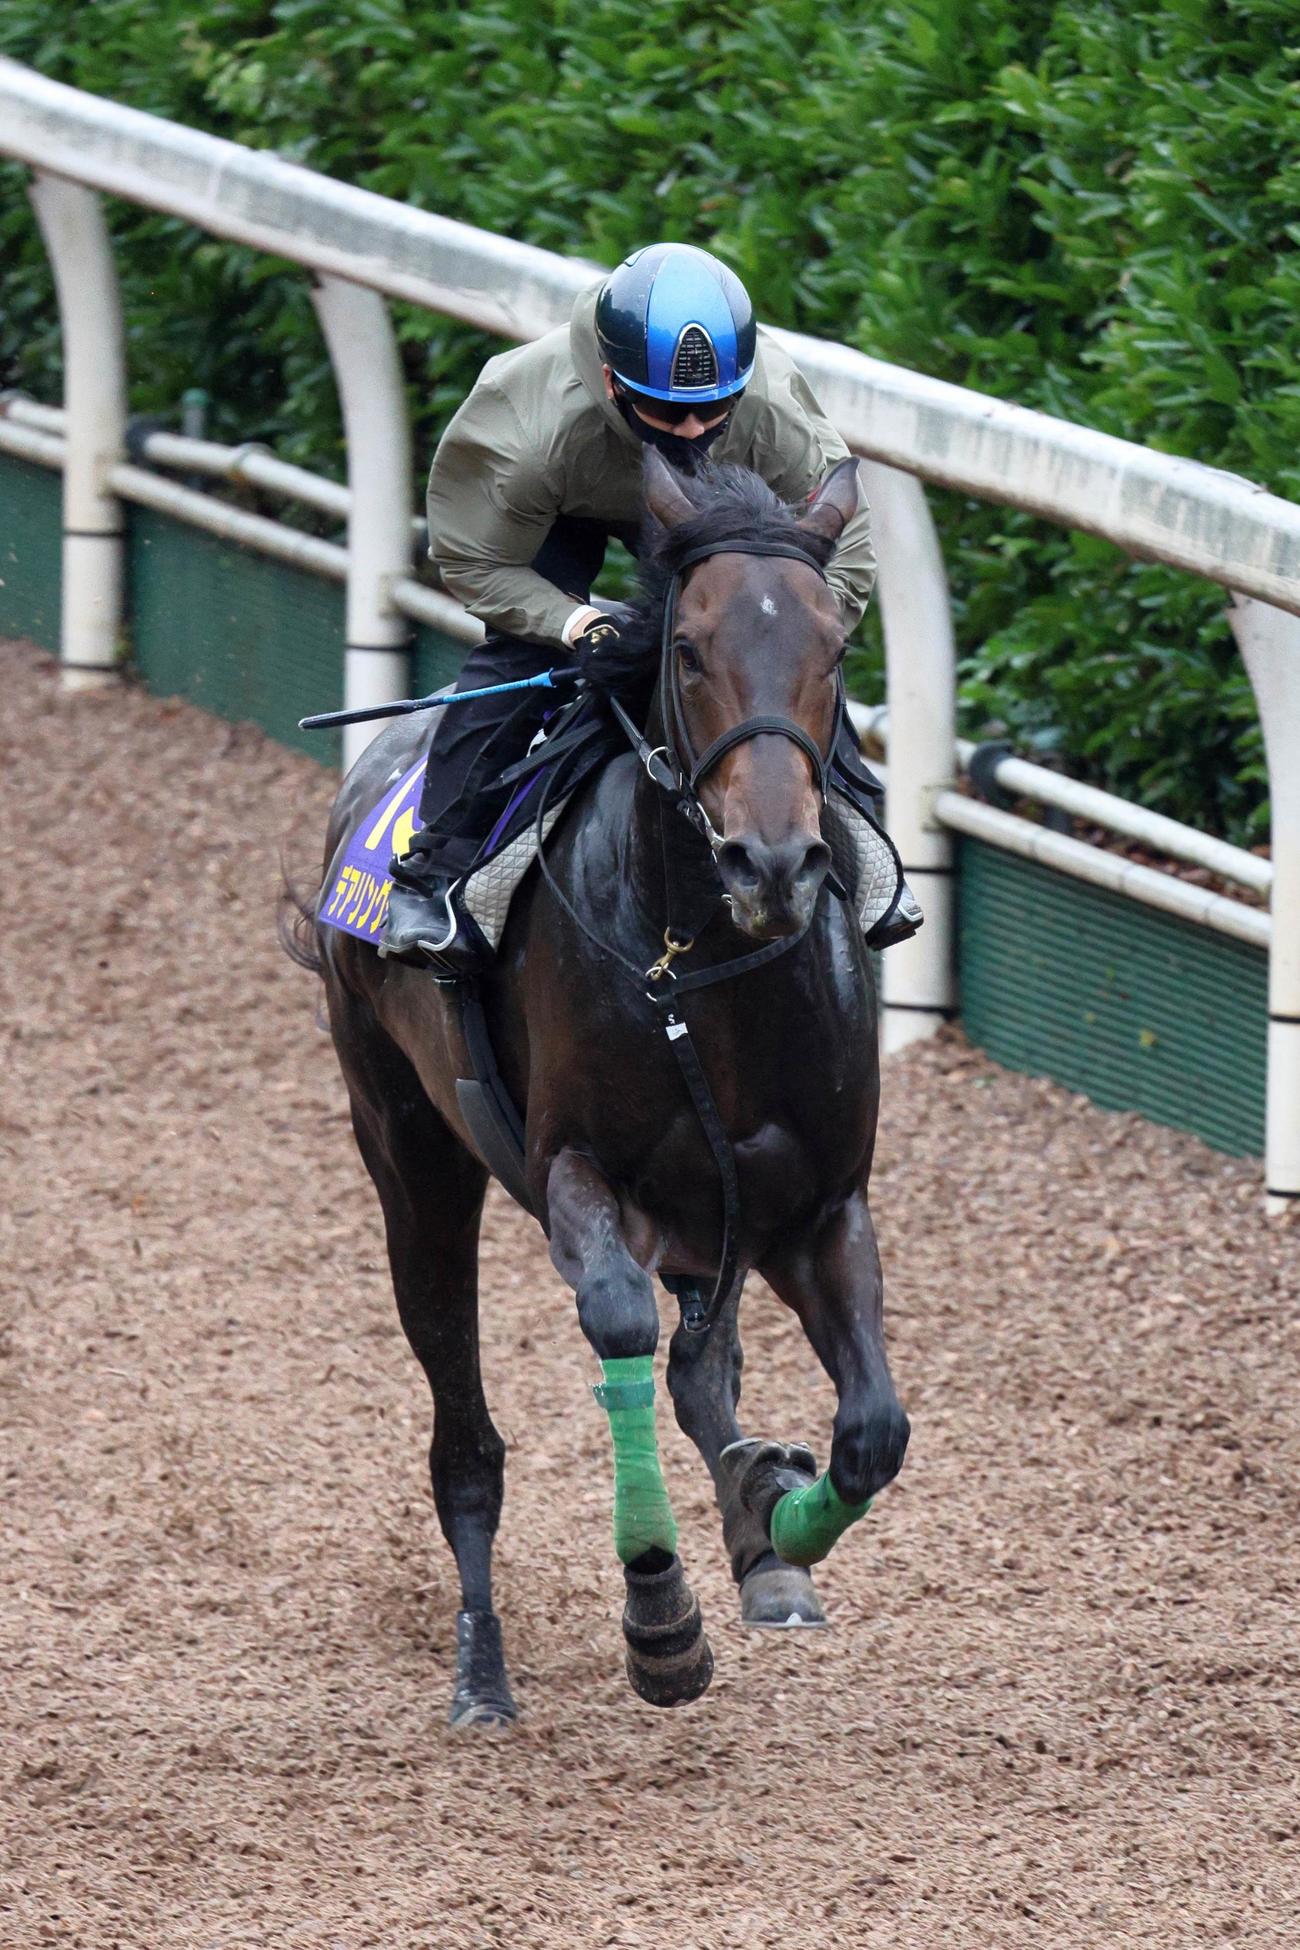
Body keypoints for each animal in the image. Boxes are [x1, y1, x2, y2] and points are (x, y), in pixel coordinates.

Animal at [293, 448, 910, 1725]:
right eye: (689, 648)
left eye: (834, 648)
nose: (772, 864)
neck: (698, 971)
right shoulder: (578, 1176)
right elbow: (619, 1326)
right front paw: (661, 1615)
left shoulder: (816, 1206)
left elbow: (870, 1430)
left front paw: (777, 1520)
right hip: (411, 1152)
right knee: (467, 1435)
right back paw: (482, 1668)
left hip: (716, 1219)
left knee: (703, 1370)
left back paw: (758, 1533)